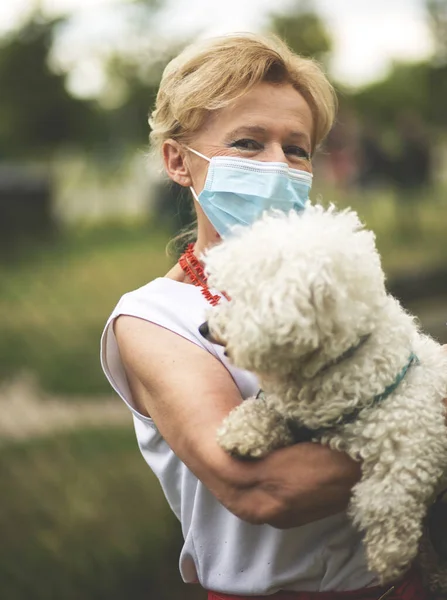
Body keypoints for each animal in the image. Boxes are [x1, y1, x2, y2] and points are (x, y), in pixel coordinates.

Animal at [202, 207, 447, 596]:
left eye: (242, 297)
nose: (204, 329)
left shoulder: (413, 439)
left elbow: (386, 496)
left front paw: (389, 555)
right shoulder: (287, 408)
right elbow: (262, 407)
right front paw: (242, 433)